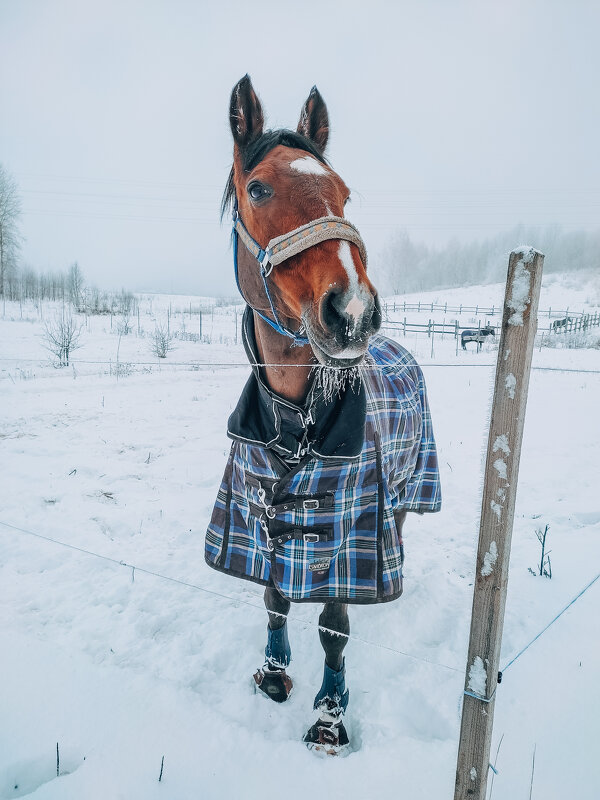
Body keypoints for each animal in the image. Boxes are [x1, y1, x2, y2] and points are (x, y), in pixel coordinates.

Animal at [204, 76, 442, 756]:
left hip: (410, 487)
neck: (295, 417)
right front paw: (272, 674)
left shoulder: (345, 533)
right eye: (259, 188)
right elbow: (275, 598)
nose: (353, 312)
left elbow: (334, 624)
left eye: (344, 192)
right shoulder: (260, 516)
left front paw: (330, 717)